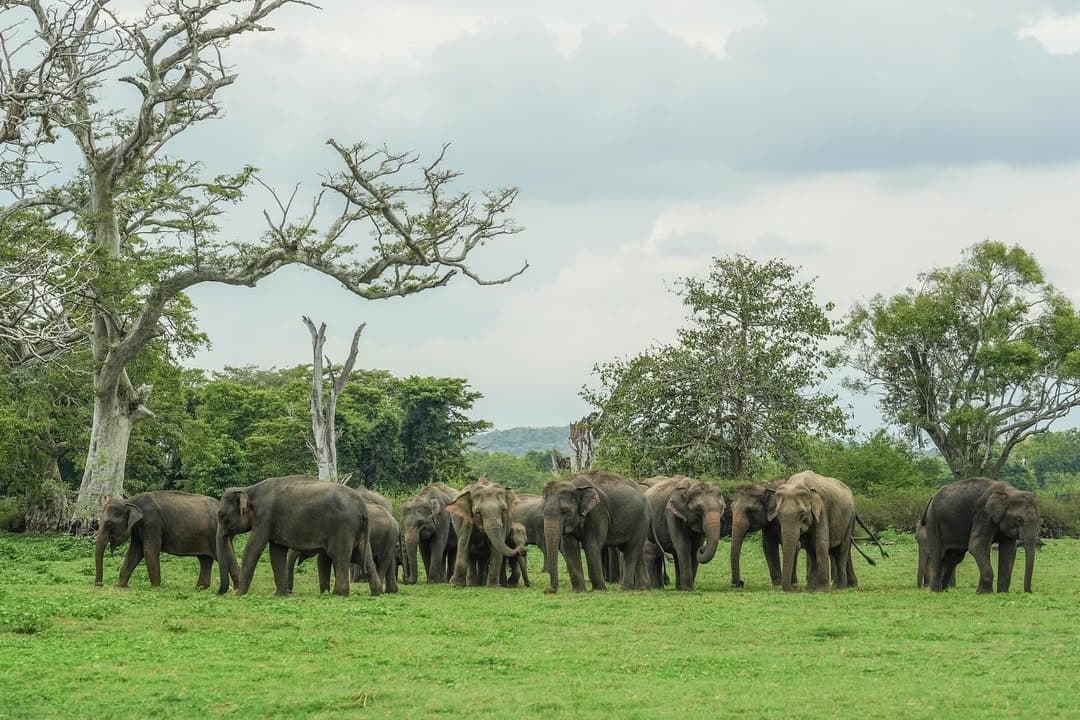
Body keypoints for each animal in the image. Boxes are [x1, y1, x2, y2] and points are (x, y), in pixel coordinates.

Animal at [94, 491, 237, 590]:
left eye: (109, 524)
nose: (99, 584)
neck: (131, 501)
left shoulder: (152, 523)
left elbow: (149, 551)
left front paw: (155, 588)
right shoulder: (138, 529)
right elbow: (134, 553)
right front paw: (119, 586)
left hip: (216, 532)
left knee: (224, 556)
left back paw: (236, 591)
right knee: (205, 559)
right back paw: (200, 588)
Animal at [216, 475, 381, 597]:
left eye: (222, 515)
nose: (222, 592)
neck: (249, 489)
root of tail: (362, 507)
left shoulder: (265, 516)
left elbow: (253, 547)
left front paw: (239, 594)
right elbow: (276, 552)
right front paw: (280, 595)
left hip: (343, 527)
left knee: (339, 556)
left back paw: (339, 594)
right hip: (358, 531)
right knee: (364, 557)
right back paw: (376, 592)